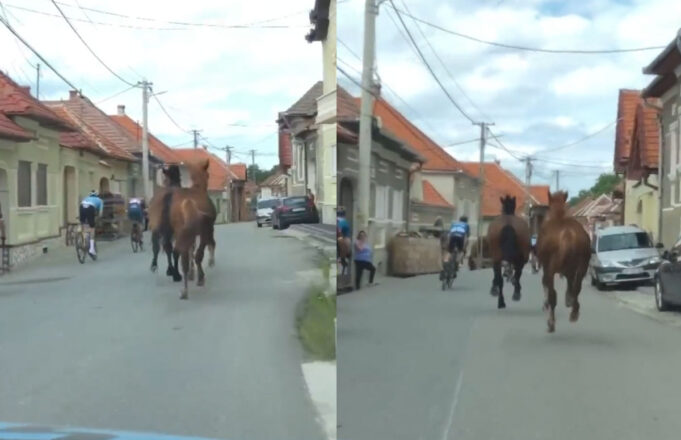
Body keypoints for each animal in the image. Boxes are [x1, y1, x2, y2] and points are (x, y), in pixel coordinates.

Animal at [536, 191, 588, 332]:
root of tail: (568, 234)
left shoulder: (546, 267)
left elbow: (546, 286)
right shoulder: (569, 270)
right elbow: (571, 285)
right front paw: (569, 299)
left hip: (551, 269)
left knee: (553, 294)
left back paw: (551, 323)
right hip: (582, 267)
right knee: (577, 288)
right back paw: (574, 313)